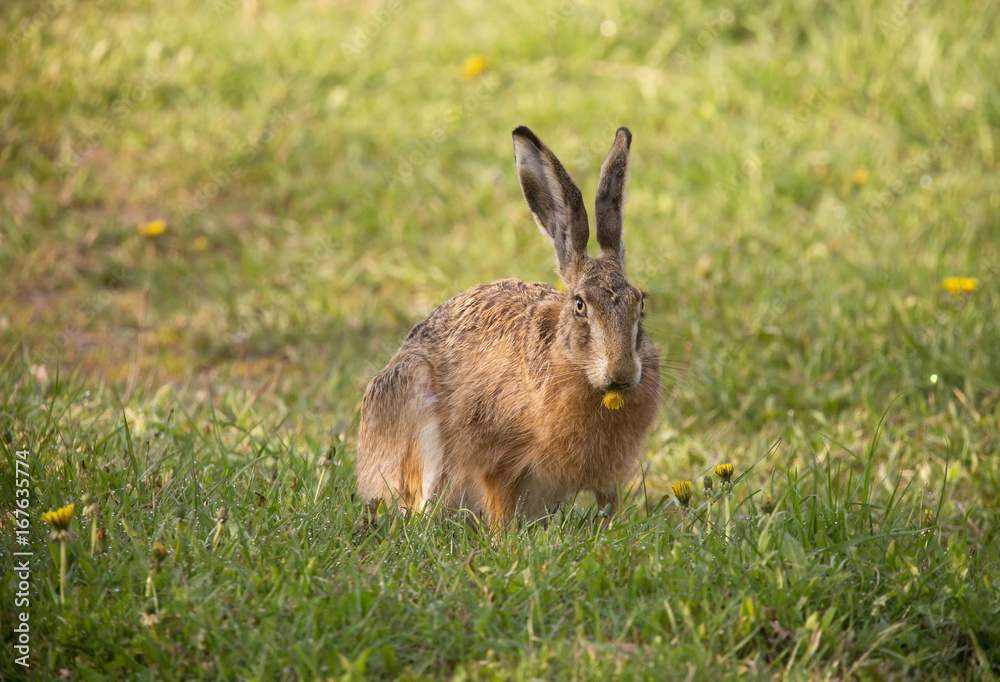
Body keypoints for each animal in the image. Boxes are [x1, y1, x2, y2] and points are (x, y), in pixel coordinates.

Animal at [356, 125, 661, 527]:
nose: (622, 371)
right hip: (413, 403)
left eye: (640, 304)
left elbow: (609, 503)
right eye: (580, 305)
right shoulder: (496, 460)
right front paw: (504, 539)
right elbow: (498, 505)